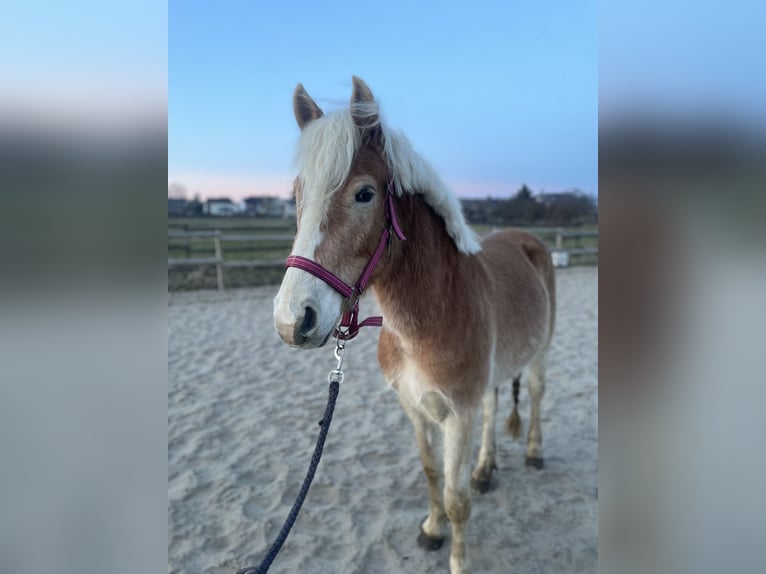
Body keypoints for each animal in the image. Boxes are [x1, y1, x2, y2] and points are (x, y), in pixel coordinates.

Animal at [273, 77, 556, 574]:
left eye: (364, 193)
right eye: (297, 193)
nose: (293, 319)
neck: (428, 319)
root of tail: (529, 241)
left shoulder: (456, 416)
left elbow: (456, 498)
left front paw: (459, 560)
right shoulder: (414, 408)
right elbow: (431, 473)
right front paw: (432, 530)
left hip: (539, 353)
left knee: (536, 396)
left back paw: (534, 454)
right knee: (492, 407)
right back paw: (486, 470)